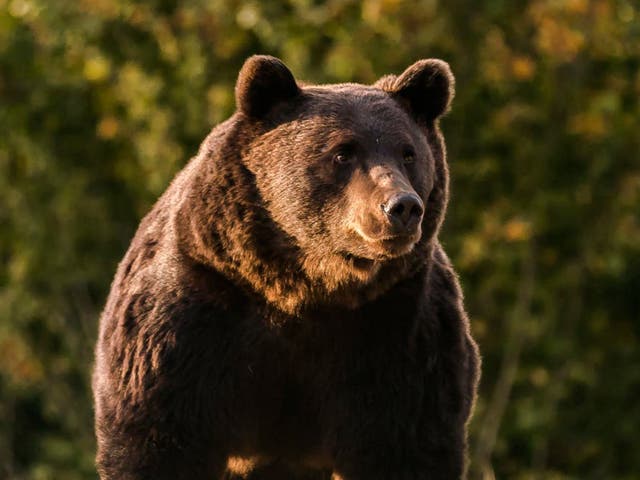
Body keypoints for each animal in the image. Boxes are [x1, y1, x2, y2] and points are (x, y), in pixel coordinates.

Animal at [91, 55, 480, 480]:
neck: (304, 288)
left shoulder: (396, 330)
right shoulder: (194, 315)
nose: (403, 206)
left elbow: (405, 444)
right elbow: (159, 438)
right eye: (342, 153)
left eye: (408, 153)